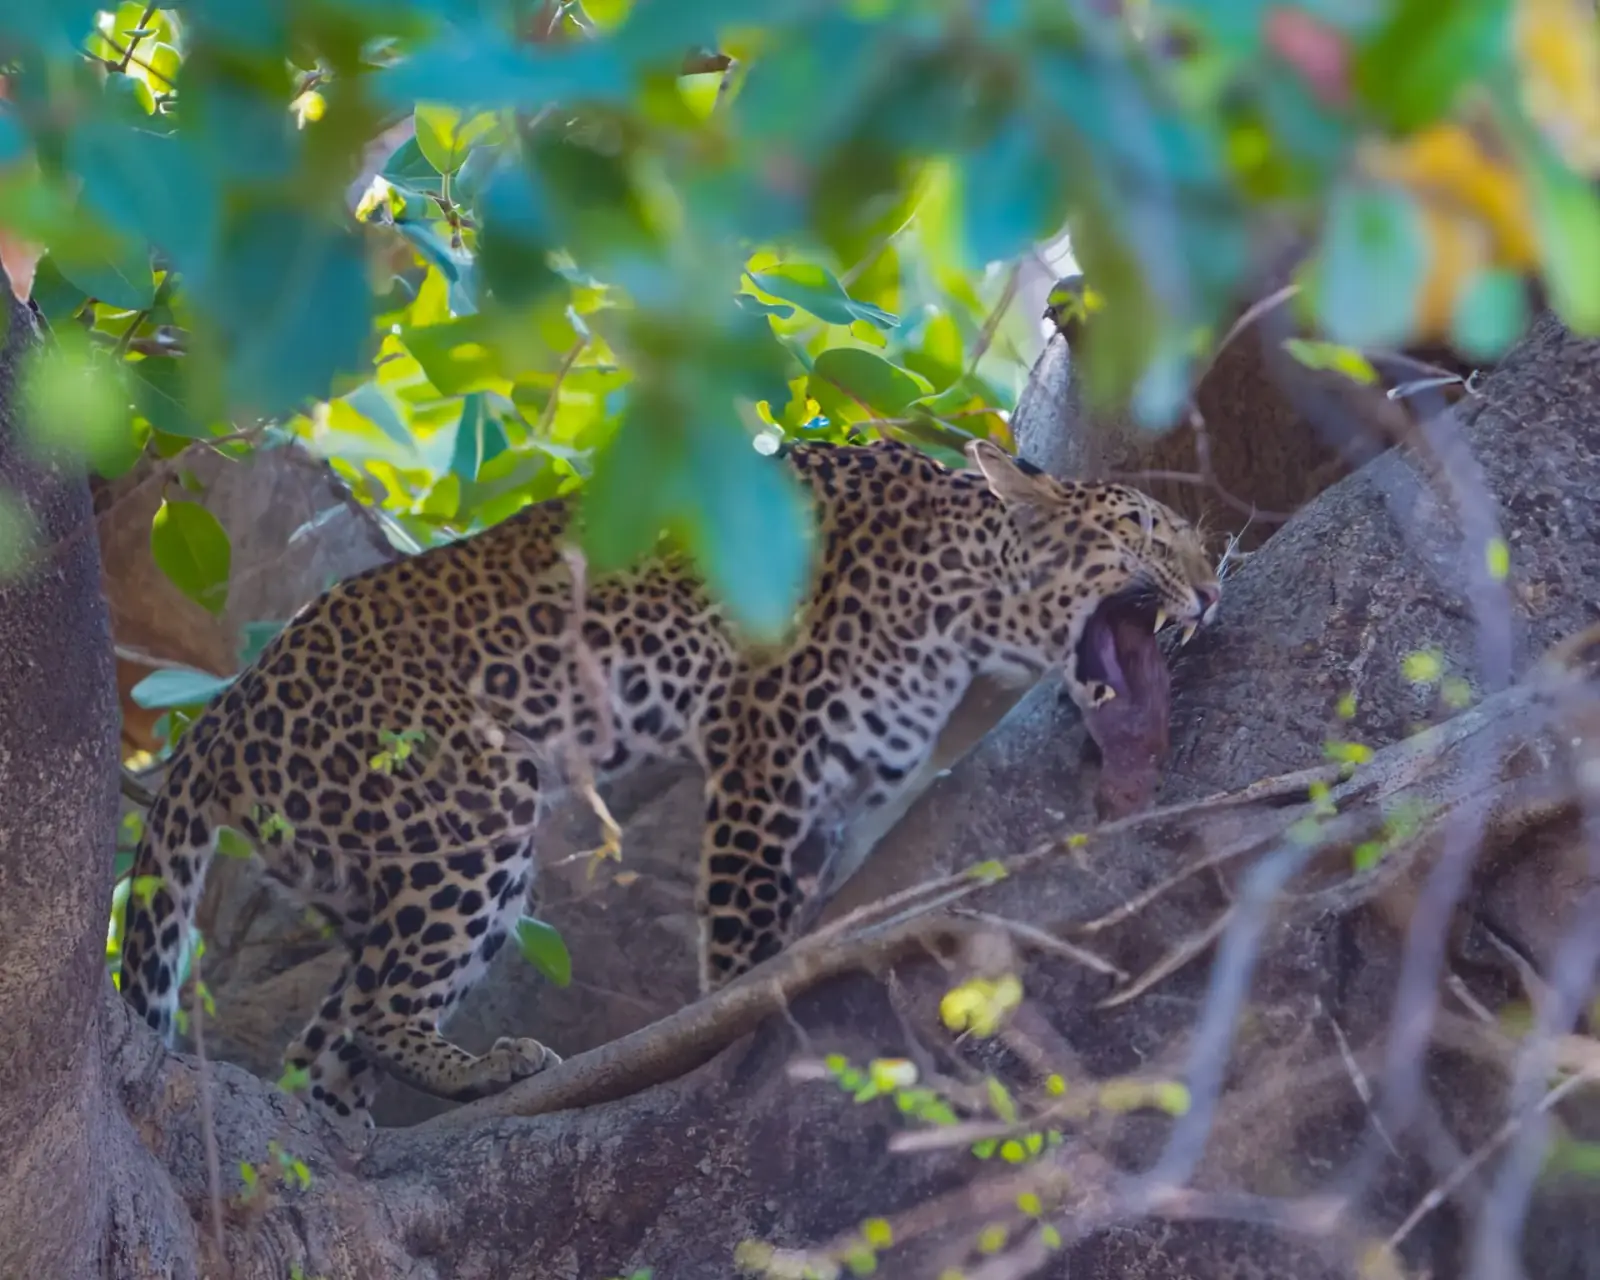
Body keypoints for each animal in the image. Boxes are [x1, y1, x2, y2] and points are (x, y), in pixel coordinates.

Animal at [118, 436, 1221, 1129]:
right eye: (1148, 530)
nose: (1213, 589)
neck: (964, 591)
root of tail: (223, 715)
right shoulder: (767, 754)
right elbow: (739, 934)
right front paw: (733, 1027)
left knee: (329, 1033)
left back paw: (343, 1138)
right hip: (474, 803)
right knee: (380, 1010)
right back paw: (483, 1067)